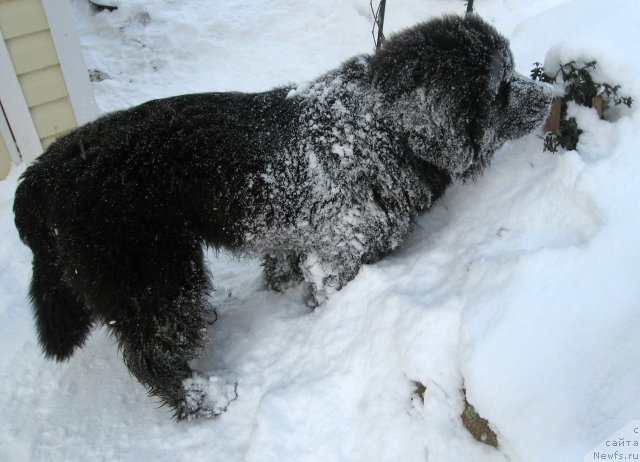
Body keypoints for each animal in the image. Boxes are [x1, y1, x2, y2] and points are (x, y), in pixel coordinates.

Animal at [12, 14, 552, 420]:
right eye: (501, 87)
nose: (549, 97)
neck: (383, 127)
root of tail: (44, 173)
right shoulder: (343, 247)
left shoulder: (294, 235)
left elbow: (283, 263)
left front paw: (280, 288)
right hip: (156, 276)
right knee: (154, 352)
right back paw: (202, 398)